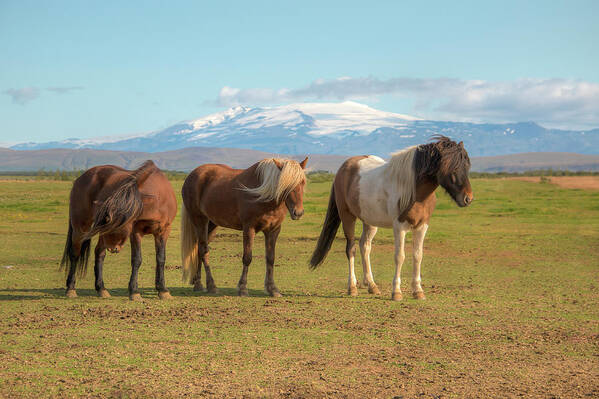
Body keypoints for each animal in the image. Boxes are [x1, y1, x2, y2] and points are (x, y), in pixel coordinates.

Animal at [61, 161, 178, 302]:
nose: (113, 248)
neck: (158, 200)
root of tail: (80, 178)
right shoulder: (136, 232)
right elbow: (136, 260)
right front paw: (134, 291)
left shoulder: (163, 231)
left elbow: (161, 258)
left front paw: (163, 290)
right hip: (81, 227)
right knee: (75, 254)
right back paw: (71, 289)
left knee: (99, 253)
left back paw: (101, 289)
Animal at [180, 158, 308, 298]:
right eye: (285, 184)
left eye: (302, 182)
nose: (298, 212)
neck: (263, 196)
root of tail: (192, 175)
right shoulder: (249, 228)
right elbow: (247, 258)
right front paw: (242, 288)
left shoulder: (273, 230)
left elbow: (270, 258)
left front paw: (272, 289)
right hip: (199, 220)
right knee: (203, 250)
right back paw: (210, 285)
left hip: (212, 225)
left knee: (198, 249)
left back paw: (198, 284)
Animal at [310, 136, 474, 302]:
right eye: (452, 167)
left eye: (466, 166)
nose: (468, 199)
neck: (415, 191)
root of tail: (343, 169)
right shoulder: (399, 227)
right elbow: (399, 256)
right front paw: (396, 292)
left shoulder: (422, 226)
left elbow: (418, 255)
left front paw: (418, 291)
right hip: (347, 216)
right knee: (351, 249)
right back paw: (352, 287)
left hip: (370, 221)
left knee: (365, 246)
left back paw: (372, 285)